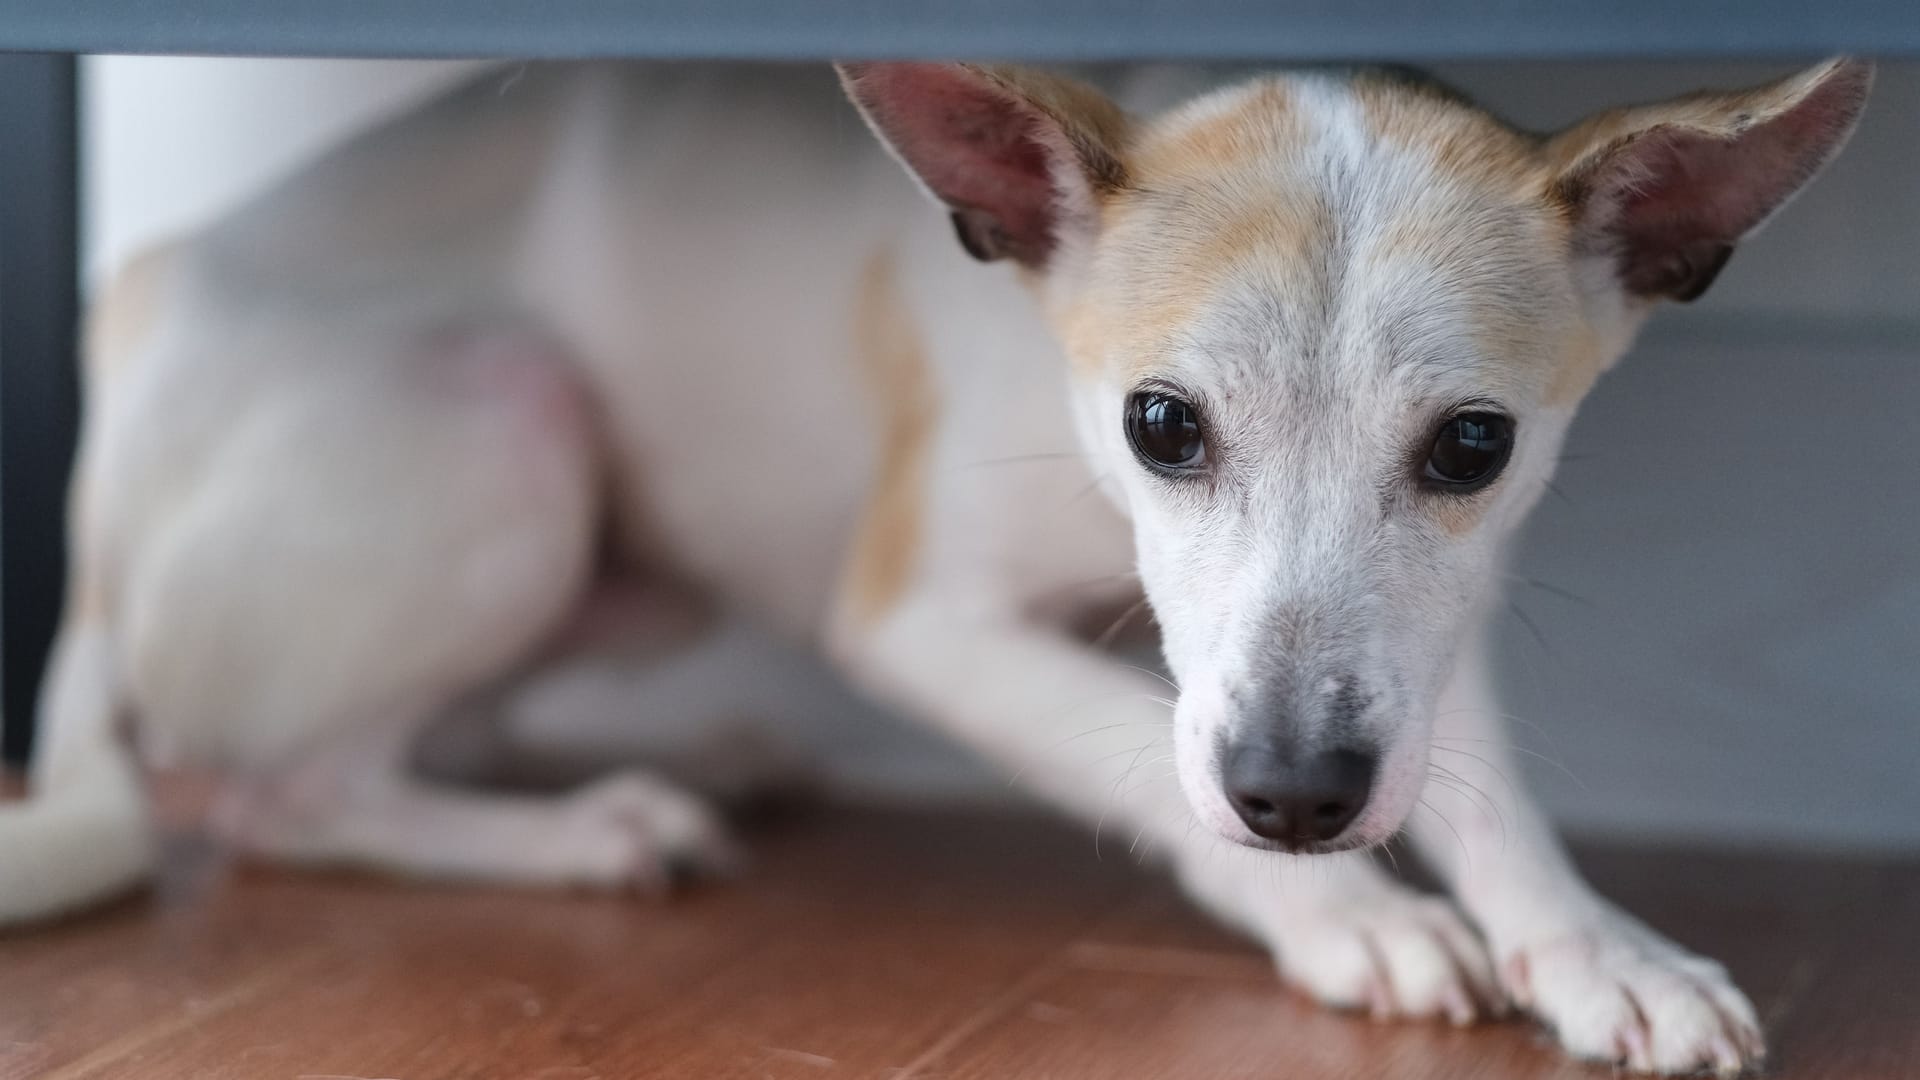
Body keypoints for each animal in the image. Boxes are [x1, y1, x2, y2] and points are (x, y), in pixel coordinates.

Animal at [0, 56, 1866, 1068]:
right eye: (1162, 425)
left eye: (1475, 447)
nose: (1296, 796)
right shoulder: (925, 623)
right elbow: (1138, 756)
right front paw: (1350, 915)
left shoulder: (1422, 639)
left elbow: (1487, 793)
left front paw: (1592, 946)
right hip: (518, 429)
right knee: (271, 794)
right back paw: (586, 830)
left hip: (617, 561)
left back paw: (684, 765)